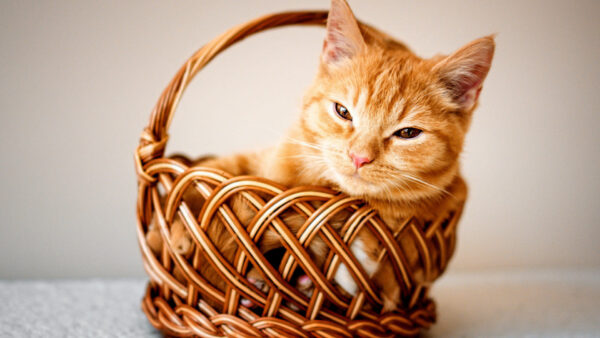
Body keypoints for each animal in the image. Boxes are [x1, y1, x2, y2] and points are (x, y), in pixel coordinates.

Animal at [145, 0, 492, 312]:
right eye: (343, 112)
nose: (359, 157)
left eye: (407, 133)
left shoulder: (441, 201)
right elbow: (207, 173)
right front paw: (169, 231)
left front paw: (363, 261)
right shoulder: (257, 163)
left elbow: (395, 253)